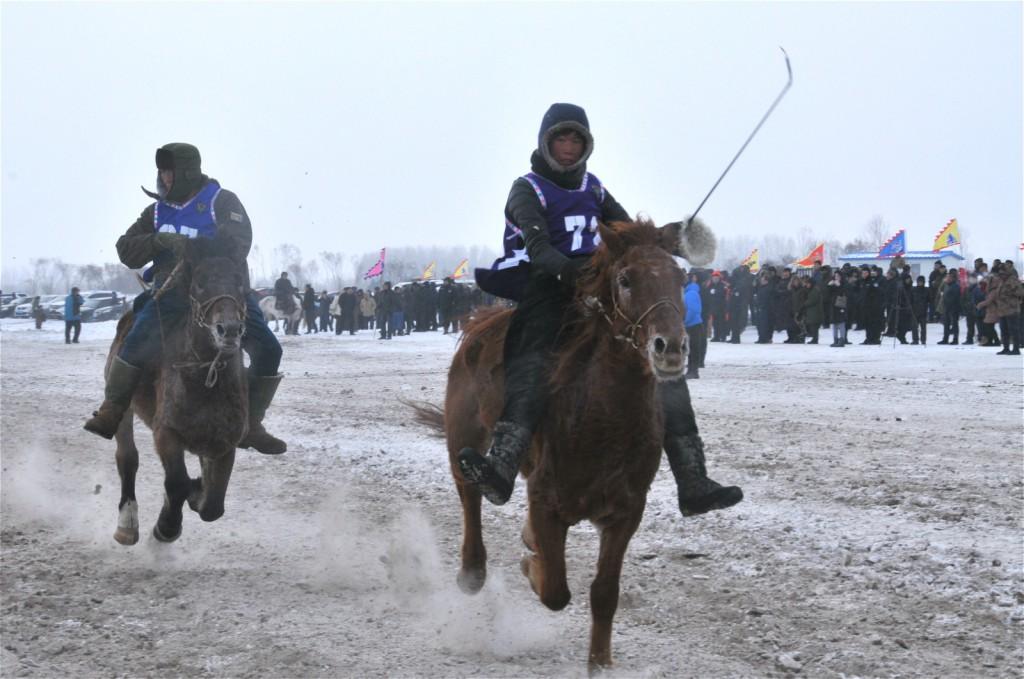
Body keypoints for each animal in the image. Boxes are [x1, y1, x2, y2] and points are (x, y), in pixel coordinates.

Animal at [411, 219, 708, 675]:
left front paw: (599, 663)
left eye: (681, 277)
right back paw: (473, 569)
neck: (603, 420)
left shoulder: (625, 511)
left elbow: (604, 593)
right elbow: (554, 589)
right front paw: (529, 561)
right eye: (625, 279)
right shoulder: (546, 499)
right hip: (463, 438)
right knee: (470, 496)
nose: (670, 347)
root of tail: (480, 323)